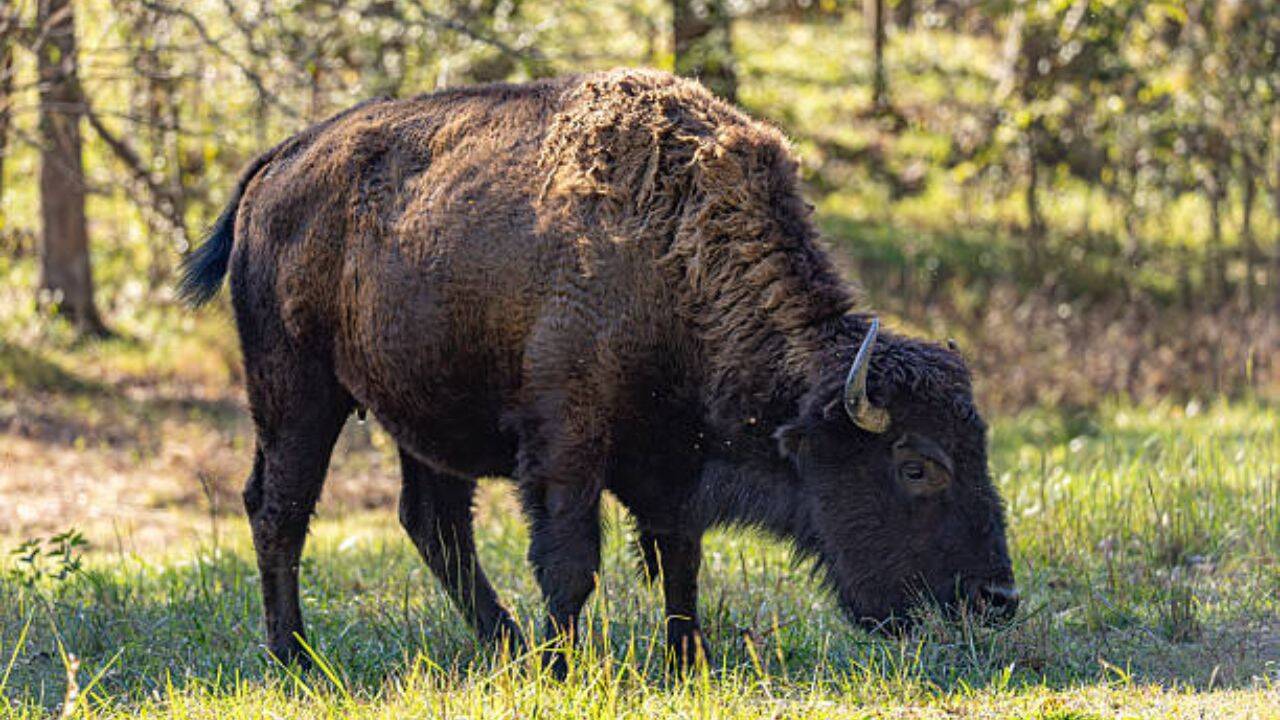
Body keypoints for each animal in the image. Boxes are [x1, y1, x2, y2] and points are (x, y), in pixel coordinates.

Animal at [180, 69, 1016, 673]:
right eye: (916, 465)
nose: (998, 597)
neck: (679, 255)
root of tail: (277, 164)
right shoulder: (567, 444)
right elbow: (572, 561)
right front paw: (566, 667)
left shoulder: (674, 462)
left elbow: (680, 556)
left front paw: (687, 660)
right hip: (296, 394)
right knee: (279, 510)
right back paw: (298, 659)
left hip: (417, 415)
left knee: (433, 523)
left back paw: (504, 647)